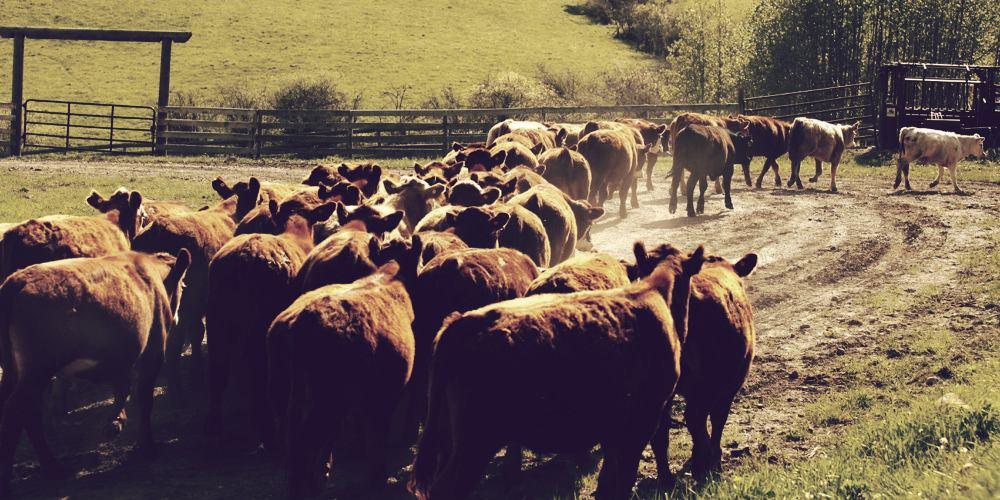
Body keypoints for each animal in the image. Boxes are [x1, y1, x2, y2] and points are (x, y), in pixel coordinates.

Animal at [0, 249, 190, 498]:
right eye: (182, 287)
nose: (177, 318)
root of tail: (16, 280)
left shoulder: (122, 357)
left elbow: (123, 387)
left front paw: (116, 422)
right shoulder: (153, 353)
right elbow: (144, 399)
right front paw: (147, 447)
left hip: (14, 371)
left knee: (25, 412)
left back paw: (52, 468)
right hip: (37, 372)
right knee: (18, 412)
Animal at [204, 200, 337, 449]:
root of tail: (245, 255)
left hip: (218, 320)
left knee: (218, 370)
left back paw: (215, 428)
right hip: (256, 325)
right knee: (256, 370)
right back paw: (263, 428)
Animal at [270, 263, 415, 497]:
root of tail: (301, 319)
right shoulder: (384, 397)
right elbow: (377, 434)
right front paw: (378, 476)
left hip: (285, 394)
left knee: (293, 439)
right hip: (327, 401)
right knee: (303, 442)